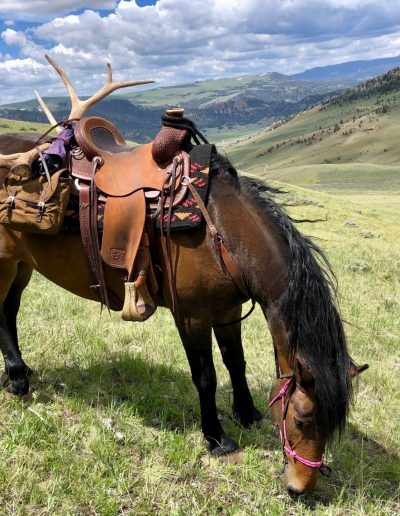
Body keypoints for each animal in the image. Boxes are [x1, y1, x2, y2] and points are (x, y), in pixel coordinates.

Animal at [0, 54, 366, 494]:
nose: (300, 490)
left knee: (8, 312)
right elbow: (205, 375)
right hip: (3, 262)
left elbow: (236, 361)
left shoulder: (227, 310)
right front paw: (217, 437)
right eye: (302, 417)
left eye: (334, 425)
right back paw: (17, 379)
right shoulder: (191, 316)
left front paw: (247, 413)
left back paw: (20, 372)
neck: (221, 230)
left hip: (23, 265)